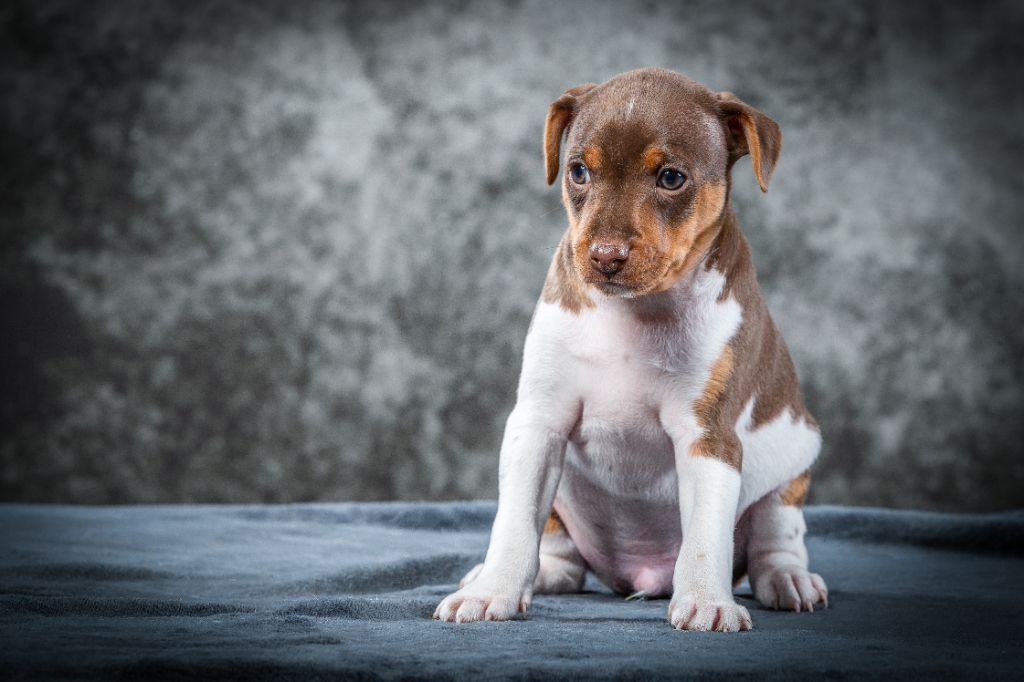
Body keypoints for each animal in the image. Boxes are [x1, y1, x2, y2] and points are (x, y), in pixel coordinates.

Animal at [436, 66, 827, 630]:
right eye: (578, 171)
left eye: (671, 178)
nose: (605, 256)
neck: (634, 312)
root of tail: (641, 577)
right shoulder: (538, 422)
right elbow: (514, 522)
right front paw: (493, 591)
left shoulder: (708, 437)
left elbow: (705, 534)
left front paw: (707, 601)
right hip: (564, 503)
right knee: (558, 548)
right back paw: (531, 573)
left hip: (792, 468)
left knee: (776, 538)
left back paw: (789, 579)